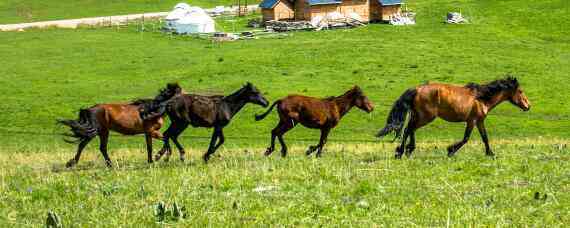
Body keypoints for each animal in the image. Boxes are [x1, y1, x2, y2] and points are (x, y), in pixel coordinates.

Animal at [378, 76, 528, 159]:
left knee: (409, 129)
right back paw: (402, 152)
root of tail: (417, 89)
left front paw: (490, 153)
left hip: (418, 116)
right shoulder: (472, 121)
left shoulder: (479, 121)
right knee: (409, 129)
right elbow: (466, 138)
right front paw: (450, 151)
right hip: (426, 117)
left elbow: (485, 138)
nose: (528, 106)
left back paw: (406, 150)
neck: (481, 98)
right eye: (520, 91)